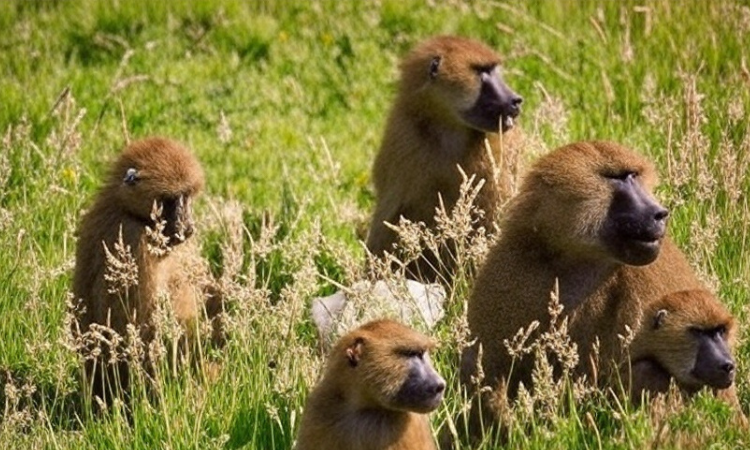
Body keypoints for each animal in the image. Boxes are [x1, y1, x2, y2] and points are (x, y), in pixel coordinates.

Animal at [456, 140, 710, 442]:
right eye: (616, 178)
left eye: (634, 176)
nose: (659, 213)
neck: (578, 255)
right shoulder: (510, 265)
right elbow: (482, 368)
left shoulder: (655, 271)